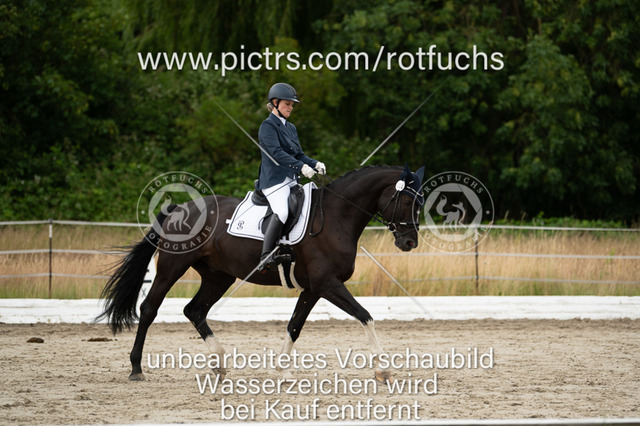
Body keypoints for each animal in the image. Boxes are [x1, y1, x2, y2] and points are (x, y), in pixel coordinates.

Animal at [98, 165, 425, 382]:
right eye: (409, 201)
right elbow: (365, 315)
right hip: (172, 267)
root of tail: (180, 207)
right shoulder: (328, 284)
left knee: (195, 310)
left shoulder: (313, 289)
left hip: (218, 276)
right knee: (149, 309)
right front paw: (383, 368)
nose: (410, 243)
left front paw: (282, 368)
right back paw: (136, 368)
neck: (335, 217)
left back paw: (219, 362)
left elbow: (295, 326)